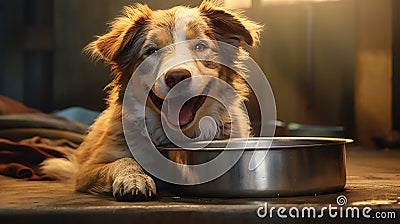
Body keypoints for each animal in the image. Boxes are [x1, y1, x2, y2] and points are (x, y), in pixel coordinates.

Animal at [39, 0, 260, 202]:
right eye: (152, 51)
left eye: (200, 46)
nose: (177, 76)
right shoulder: (88, 169)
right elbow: (123, 160)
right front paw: (134, 179)